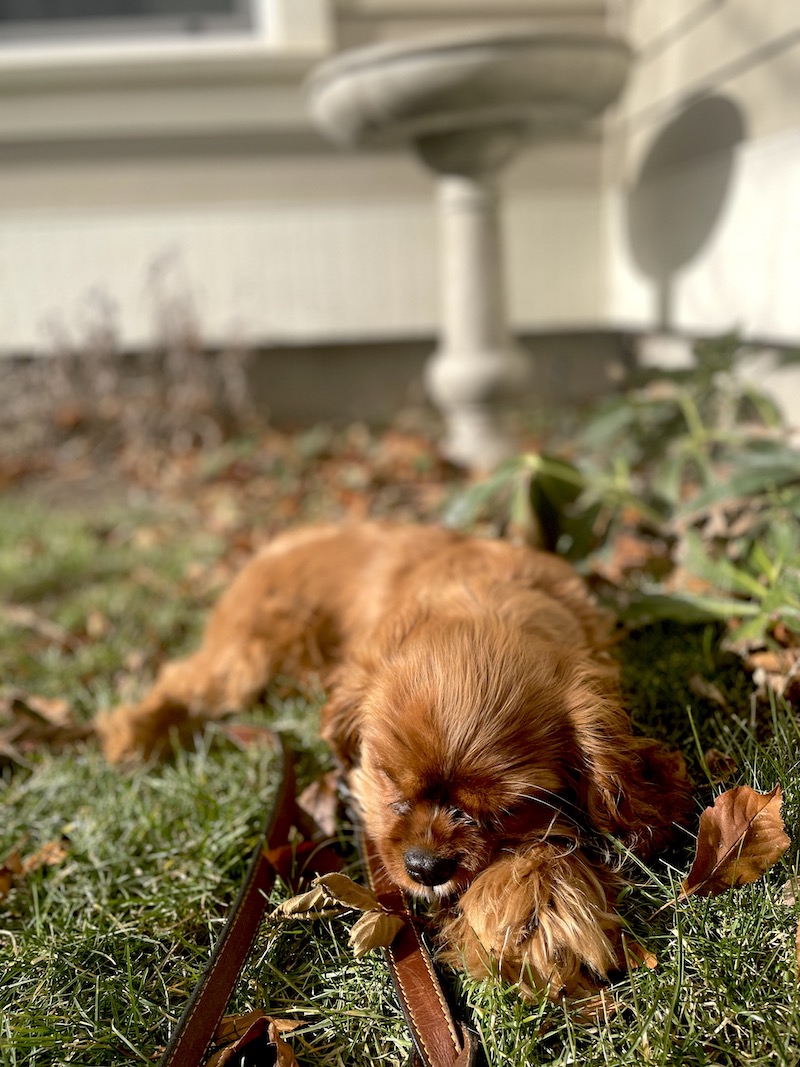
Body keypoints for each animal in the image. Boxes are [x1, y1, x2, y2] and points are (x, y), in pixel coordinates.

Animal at [95, 524, 695, 998]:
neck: (483, 597)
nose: (426, 868)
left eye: (506, 809)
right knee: (183, 680)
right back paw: (135, 734)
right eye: (389, 781)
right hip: (246, 656)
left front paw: (533, 908)